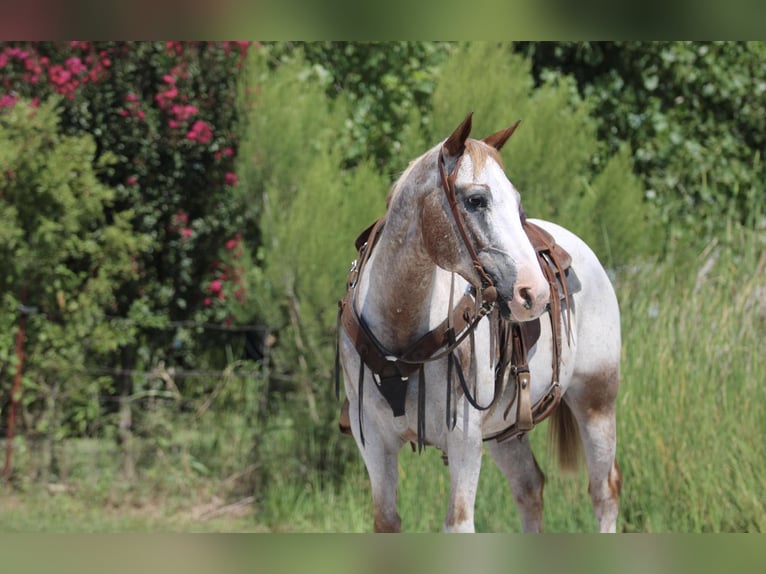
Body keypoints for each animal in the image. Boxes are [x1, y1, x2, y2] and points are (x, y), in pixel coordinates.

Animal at [337, 114, 621, 533]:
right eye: (476, 200)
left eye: (516, 204)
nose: (534, 293)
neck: (401, 333)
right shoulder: (373, 441)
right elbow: (387, 520)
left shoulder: (465, 442)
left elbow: (458, 522)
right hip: (506, 433)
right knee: (529, 488)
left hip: (596, 401)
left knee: (604, 493)